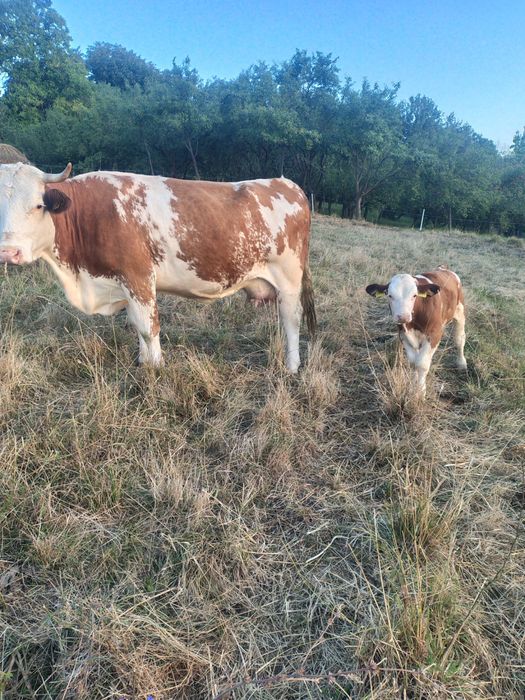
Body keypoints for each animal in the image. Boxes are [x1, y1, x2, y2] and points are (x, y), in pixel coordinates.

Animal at [0, 163, 316, 371]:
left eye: (38, 205)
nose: (8, 251)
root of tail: (286, 184)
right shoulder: (125, 286)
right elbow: (137, 324)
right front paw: (144, 362)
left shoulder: (138, 277)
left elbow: (147, 326)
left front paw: (155, 369)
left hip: (289, 278)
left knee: (291, 319)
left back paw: (292, 366)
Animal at [366, 266, 467, 395]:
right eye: (389, 295)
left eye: (414, 295)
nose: (403, 316)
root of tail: (443, 268)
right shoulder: (404, 335)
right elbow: (414, 363)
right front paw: (413, 388)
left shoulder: (434, 334)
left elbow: (422, 364)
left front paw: (420, 392)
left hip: (459, 311)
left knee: (459, 339)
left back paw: (461, 363)